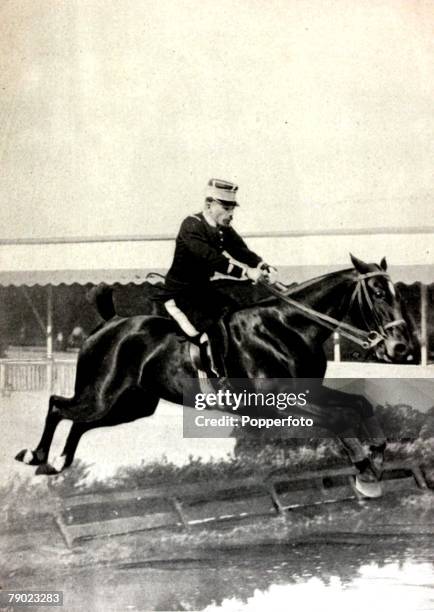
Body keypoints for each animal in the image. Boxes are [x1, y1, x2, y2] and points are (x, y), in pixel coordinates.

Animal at [15, 253, 412, 498]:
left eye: (398, 294)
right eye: (378, 292)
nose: (401, 348)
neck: (287, 327)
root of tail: (110, 322)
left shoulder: (309, 394)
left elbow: (358, 404)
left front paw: (376, 458)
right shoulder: (281, 403)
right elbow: (339, 418)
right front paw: (365, 472)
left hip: (130, 406)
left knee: (79, 421)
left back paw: (58, 463)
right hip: (102, 396)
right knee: (58, 405)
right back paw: (36, 456)